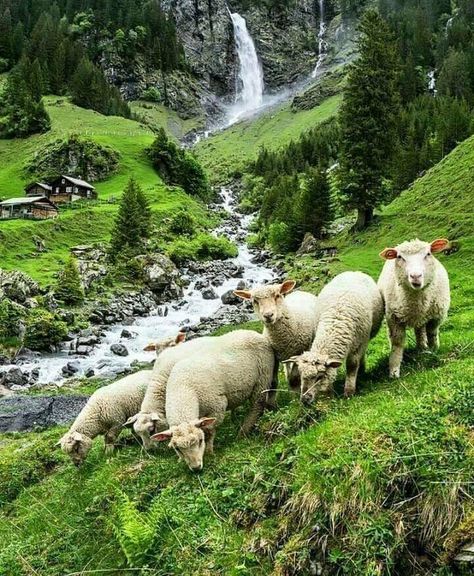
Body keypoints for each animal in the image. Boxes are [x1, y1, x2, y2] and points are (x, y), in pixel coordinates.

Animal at [150, 328, 276, 472]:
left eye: (200, 440)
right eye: (177, 449)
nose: (196, 468)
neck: (184, 389)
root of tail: (254, 333)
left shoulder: (216, 408)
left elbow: (209, 431)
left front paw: (209, 452)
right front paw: (180, 459)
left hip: (263, 377)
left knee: (257, 405)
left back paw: (243, 432)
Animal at [284, 272, 384, 402]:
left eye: (319, 377)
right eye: (301, 376)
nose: (305, 400)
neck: (335, 323)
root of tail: (353, 272)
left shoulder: (358, 344)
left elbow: (352, 365)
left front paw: (349, 392)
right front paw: (330, 394)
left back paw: (361, 371)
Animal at [376, 237, 450, 378]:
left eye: (428, 254)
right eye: (400, 257)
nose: (416, 276)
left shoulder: (436, 316)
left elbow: (432, 333)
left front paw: (434, 351)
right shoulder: (394, 319)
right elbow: (397, 343)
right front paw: (394, 370)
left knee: (420, 331)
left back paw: (423, 348)